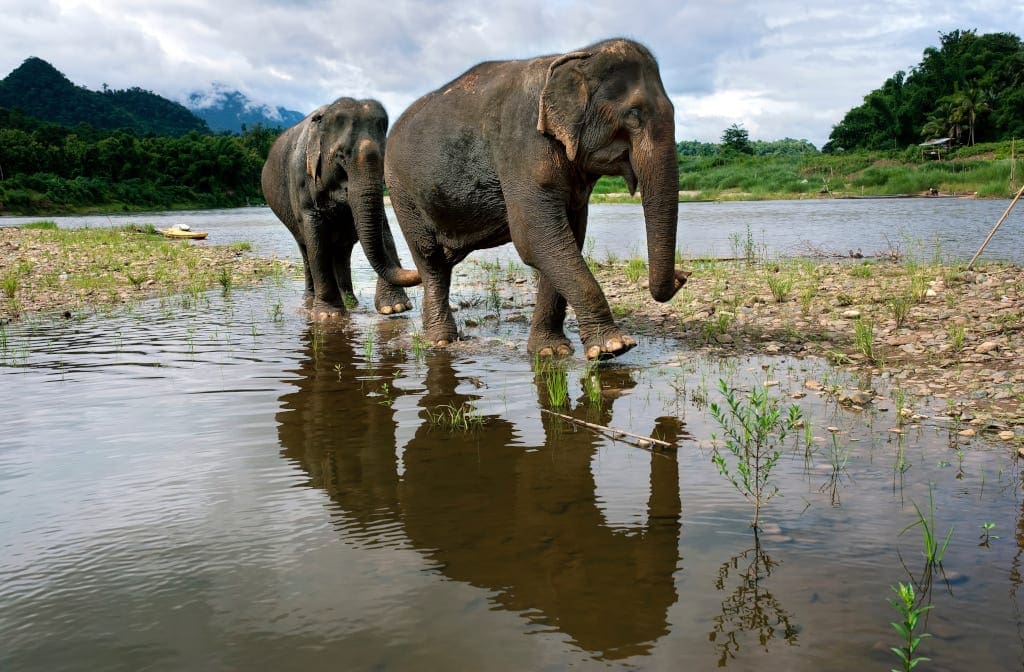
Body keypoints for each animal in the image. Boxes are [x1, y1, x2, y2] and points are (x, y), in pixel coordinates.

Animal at [268, 97, 423, 317]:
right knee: (306, 248)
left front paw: (395, 307)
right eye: (340, 156)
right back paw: (310, 300)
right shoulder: (301, 181)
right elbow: (317, 243)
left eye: (385, 155)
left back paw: (350, 301)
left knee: (342, 251)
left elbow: (384, 230)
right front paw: (328, 315)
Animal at [385, 39, 688, 360]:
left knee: (444, 259)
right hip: (401, 190)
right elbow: (535, 238)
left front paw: (550, 352)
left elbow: (567, 237)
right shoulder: (521, 147)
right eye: (634, 115)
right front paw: (613, 347)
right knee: (429, 256)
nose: (682, 276)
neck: (576, 57)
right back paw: (441, 342)